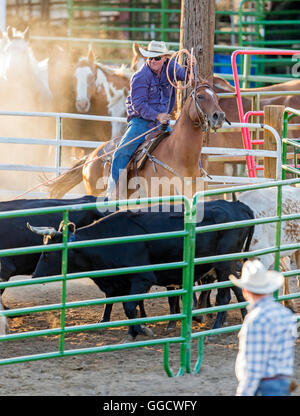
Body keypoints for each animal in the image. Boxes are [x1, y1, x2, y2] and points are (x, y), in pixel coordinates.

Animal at [30, 200, 254, 340]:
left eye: (48, 252)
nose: (35, 275)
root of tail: (237, 206)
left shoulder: (142, 279)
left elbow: (131, 307)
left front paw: (142, 330)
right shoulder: (123, 281)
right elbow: (130, 307)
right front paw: (132, 332)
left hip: (223, 264)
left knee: (224, 297)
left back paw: (214, 331)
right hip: (230, 265)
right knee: (238, 289)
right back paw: (244, 320)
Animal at [47, 80, 225, 201]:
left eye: (217, 97)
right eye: (200, 96)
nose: (219, 116)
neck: (180, 156)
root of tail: (91, 157)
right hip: (94, 191)